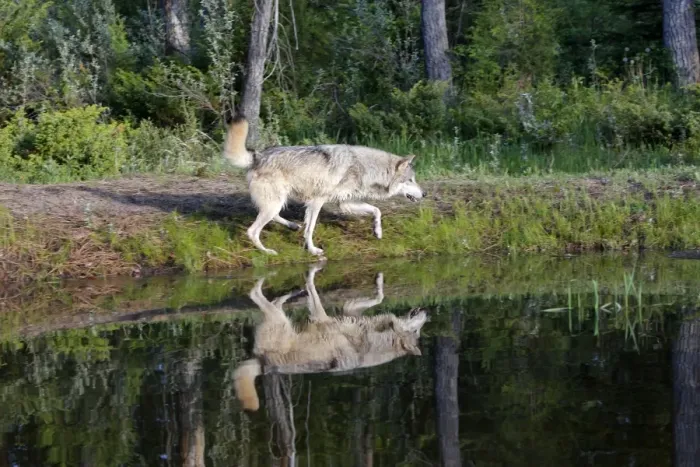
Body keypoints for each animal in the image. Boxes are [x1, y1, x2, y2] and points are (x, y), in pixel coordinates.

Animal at [222, 116, 426, 255]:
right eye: (410, 180)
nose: (425, 194)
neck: (367, 168)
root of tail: (258, 156)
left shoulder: (345, 203)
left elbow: (377, 210)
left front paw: (377, 231)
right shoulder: (317, 201)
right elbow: (310, 229)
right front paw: (312, 250)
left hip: (277, 202)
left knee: (274, 217)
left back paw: (292, 226)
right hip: (274, 203)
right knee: (252, 231)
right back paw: (268, 252)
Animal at [233, 263, 428, 411]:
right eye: (417, 331)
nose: (427, 312)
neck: (374, 341)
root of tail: (261, 362)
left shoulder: (331, 315)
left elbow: (314, 290)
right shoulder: (340, 313)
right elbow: (379, 297)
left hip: (280, 319)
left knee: (264, 297)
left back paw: (290, 290)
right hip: (280, 319)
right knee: (261, 295)